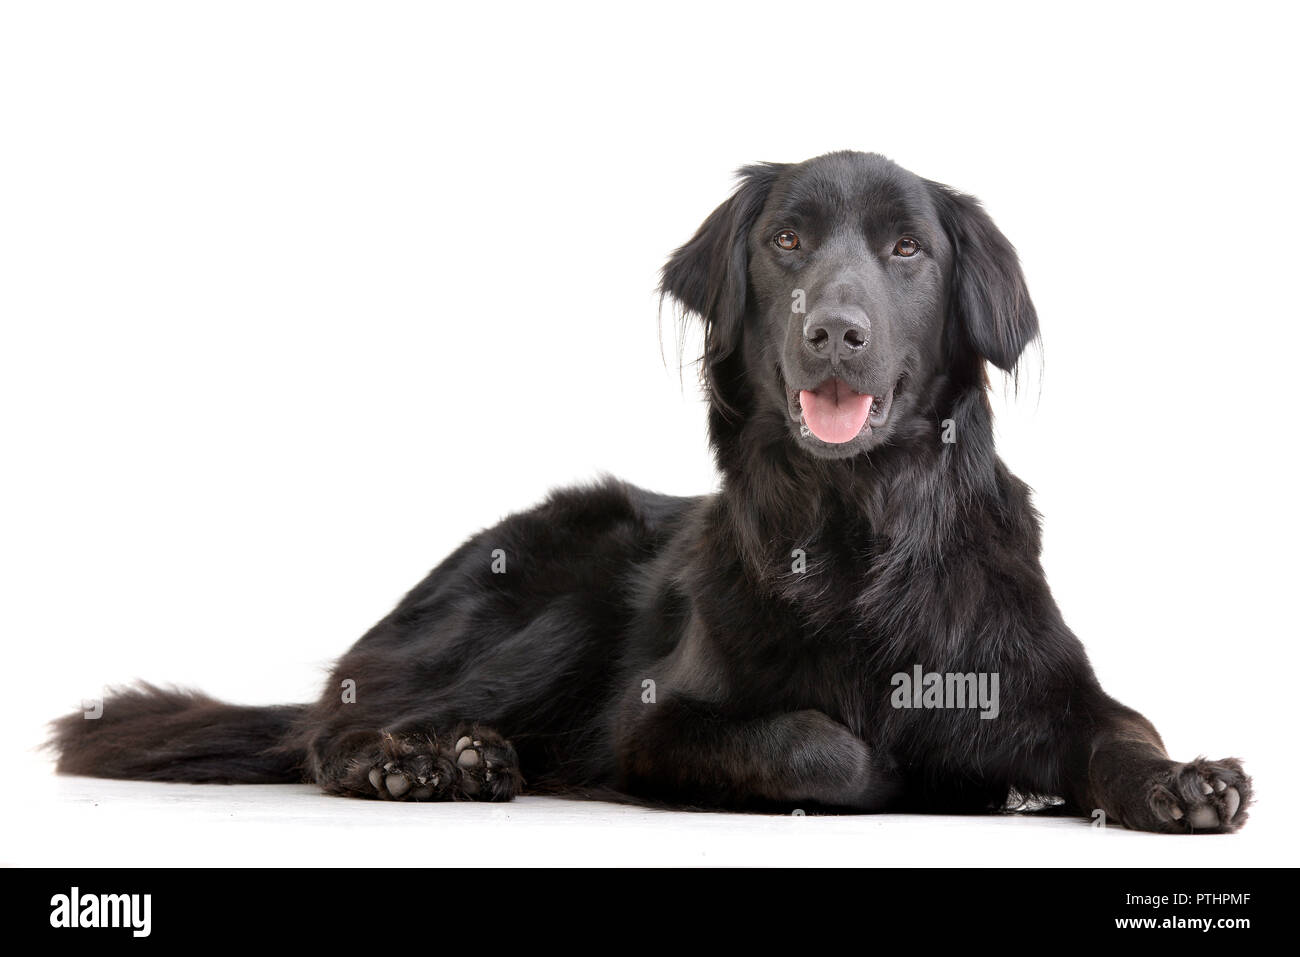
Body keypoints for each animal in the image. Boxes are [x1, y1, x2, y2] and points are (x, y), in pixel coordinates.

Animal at [53, 149, 1248, 832]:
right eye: (786, 241)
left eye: (909, 250)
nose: (836, 332)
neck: (857, 529)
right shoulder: (657, 718)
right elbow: (825, 744)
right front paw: (905, 771)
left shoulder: (1042, 683)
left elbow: (1123, 731)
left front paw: (1183, 780)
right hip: (555, 604)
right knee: (330, 730)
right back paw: (427, 763)